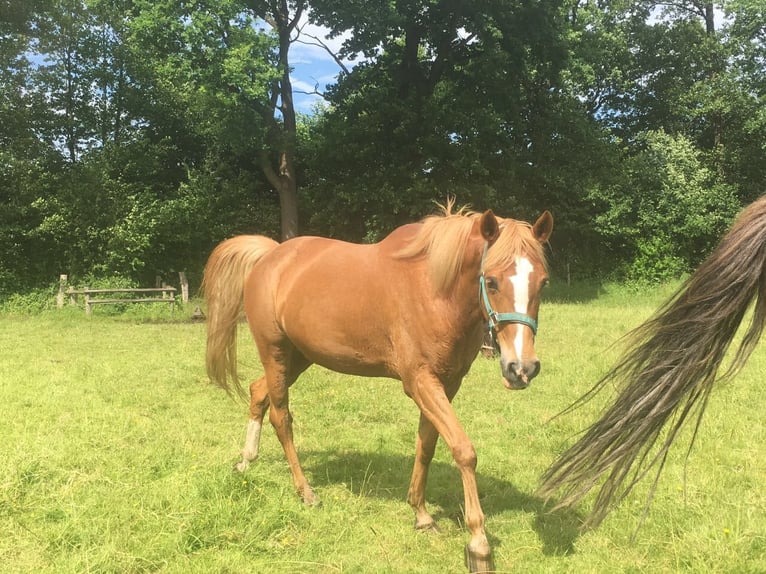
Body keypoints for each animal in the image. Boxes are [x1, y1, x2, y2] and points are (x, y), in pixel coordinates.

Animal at [204, 205, 552, 572]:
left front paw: (421, 514)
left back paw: (246, 461)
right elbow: (463, 450)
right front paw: (478, 543)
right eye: (492, 281)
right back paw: (306, 492)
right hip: (275, 353)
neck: (433, 289)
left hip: (299, 357)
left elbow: (427, 445)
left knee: (258, 393)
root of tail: (270, 256)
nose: (522, 368)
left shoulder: (447, 383)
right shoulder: (420, 382)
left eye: (543, 281)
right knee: (281, 418)